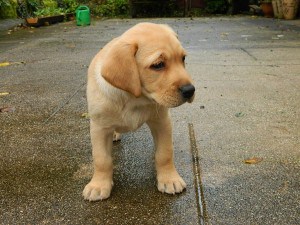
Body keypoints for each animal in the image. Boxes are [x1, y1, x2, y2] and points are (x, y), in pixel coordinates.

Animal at [82, 22, 195, 200]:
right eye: (158, 65)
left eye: (183, 59)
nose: (190, 90)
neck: (134, 99)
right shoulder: (99, 127)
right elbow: (101, 159)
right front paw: (98, 185)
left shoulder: (162, 121)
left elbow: (165, 153)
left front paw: (170, 179)